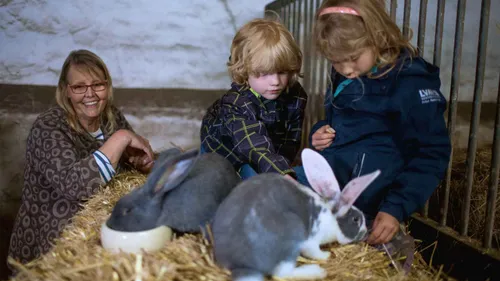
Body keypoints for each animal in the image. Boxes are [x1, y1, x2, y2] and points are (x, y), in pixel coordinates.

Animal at [211, 148, 378, 278]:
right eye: (356, 219)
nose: (365, 233)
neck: (331, 217)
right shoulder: (311, 241)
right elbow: (314, 252)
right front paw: (326, 255)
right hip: (291, 233)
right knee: (282, 273)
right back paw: (316, 272)